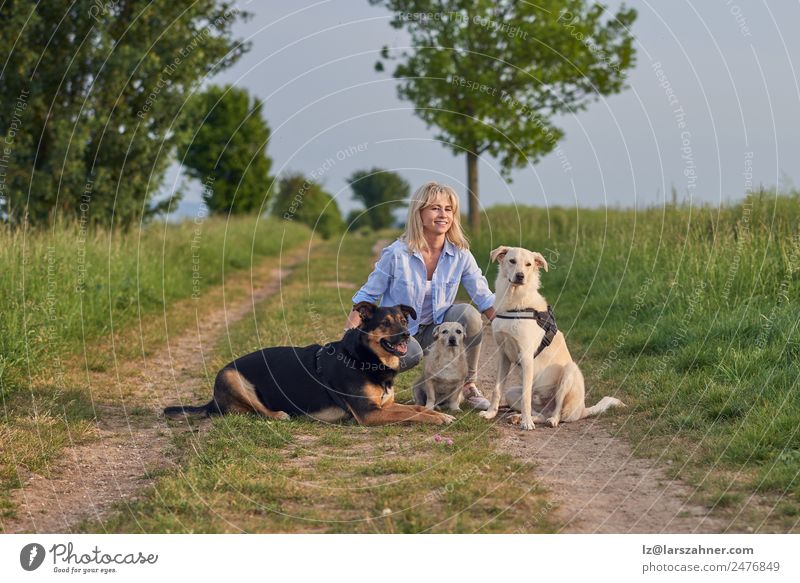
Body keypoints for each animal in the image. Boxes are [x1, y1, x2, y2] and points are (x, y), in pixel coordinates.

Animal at [162, 304, 456, 426]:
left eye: (403, 321)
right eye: (385, 323)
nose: (406, 335)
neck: (364, 358)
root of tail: (212, 400)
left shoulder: (383, 406)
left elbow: (416, 408)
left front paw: (440, 414)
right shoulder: (368, 414)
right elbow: (412, 414)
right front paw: (438, 418)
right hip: (231, 376)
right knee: (256, 410)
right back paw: (278, 415)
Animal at [478, 244, 628, 432]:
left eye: (528, 264)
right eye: (512, 261)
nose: (520, 276)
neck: (515, 301)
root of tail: (582, 409)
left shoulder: (526, 357)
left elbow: (526, 397)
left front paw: (526, 423)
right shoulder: (503, 355)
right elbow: (497, 389)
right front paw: (490, 413)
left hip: (569, 371)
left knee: (557, 412)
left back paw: (547, 420)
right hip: (512, 392)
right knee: (539, 413)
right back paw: (519, 417)